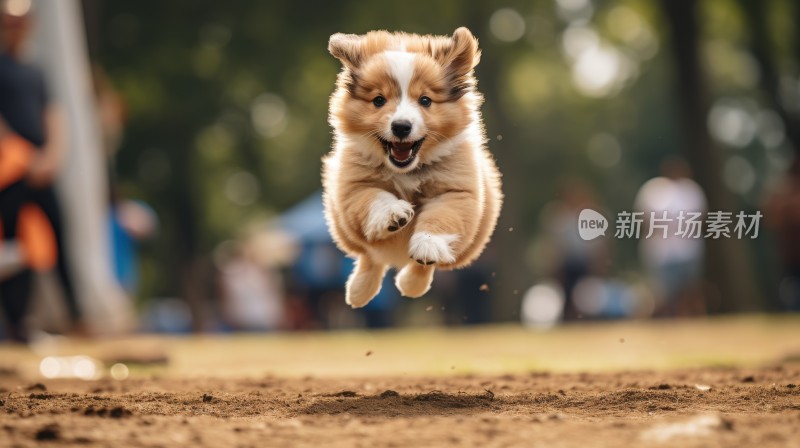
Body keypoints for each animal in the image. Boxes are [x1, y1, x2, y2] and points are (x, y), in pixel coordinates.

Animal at [322, 27, 504, 308]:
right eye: (378, 100)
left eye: (425, 100)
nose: (401, 126)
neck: (406, 170)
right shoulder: (352, 189)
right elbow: (374, 198)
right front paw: (394, 213)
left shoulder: (457, 192)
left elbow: (442, 218)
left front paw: (427, 245)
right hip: (347, 231)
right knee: (371, 257)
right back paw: (359, 291)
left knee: (420, 265)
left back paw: (410, 284)